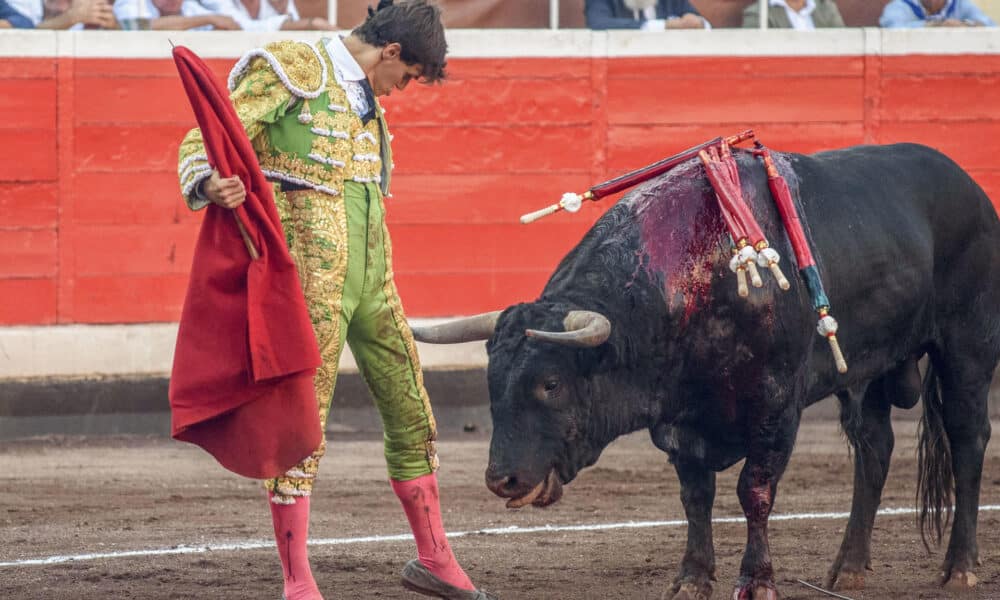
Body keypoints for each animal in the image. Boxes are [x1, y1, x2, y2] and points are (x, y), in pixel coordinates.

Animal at [408, 143, 1000, 596]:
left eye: (550, 383)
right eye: (492, 383)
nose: (501, 479)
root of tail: (969, 187)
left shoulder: (775, 411)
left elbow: (753, 493)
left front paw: (756, 581)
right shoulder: (681, 425)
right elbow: (696, 499)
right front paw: (691, 579)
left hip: (967, 348)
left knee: (968, 438)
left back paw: (960, 568)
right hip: (869, 371)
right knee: (874, 448)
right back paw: (849, 568)